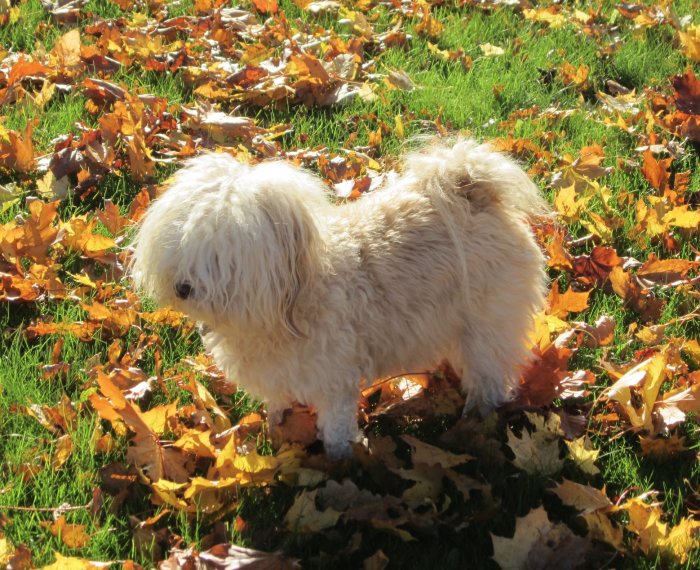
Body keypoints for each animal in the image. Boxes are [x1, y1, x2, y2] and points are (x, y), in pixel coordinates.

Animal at [130, 139, 548, 458]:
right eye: (181, 240)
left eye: (222, 253)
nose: (183, 287)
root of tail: (471, 189)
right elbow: (278, 406)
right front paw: (276, 429)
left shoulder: (335, 380)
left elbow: (335, 427)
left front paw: (338, 460)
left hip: (489, 323)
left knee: (491, 376)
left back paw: (478, 415)